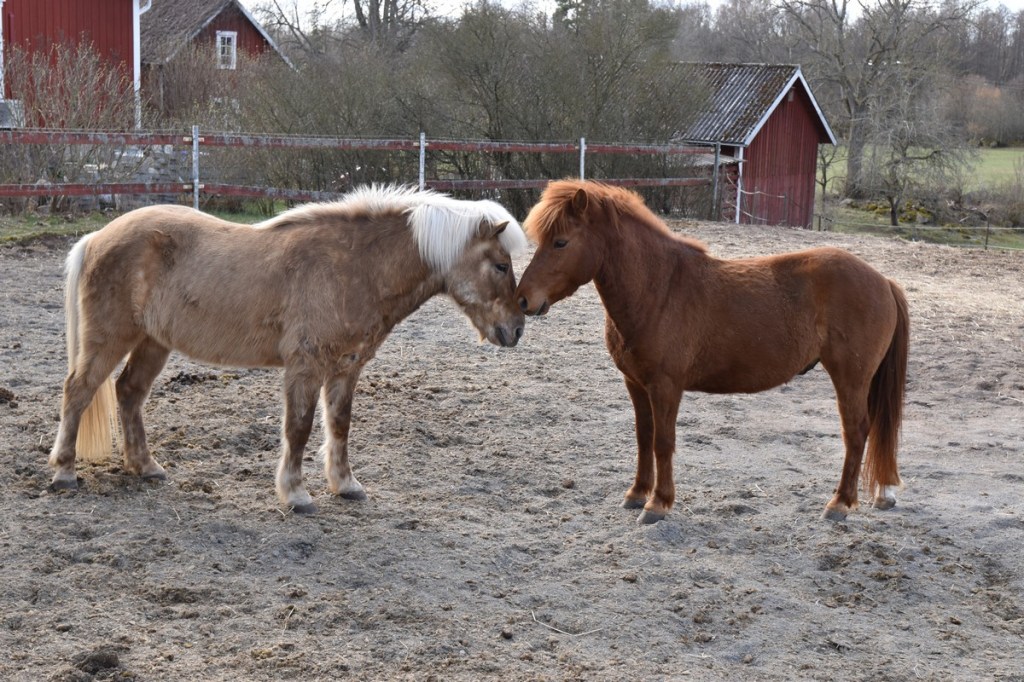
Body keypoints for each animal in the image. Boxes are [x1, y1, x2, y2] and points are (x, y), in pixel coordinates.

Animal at [48, 185, 528, 514]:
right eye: (500, 265)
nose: (516, 329)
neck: (356, 266)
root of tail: (97, 236)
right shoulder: (305, 366)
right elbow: (298, 427)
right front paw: (296, 494)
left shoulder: (346, 368)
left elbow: (339, 426)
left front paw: (345, 485)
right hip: (110, 339)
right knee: (78, 391)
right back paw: (64, 473)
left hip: (153, 343)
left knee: (129, 392)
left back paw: (145, 467)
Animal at [515, 180, 909, 524]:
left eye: (561, 242)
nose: (522, 299)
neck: (659, 289)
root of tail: (883, 281)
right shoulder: (636, 384)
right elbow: (643, 438)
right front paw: (637, 493)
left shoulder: (665, 386)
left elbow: (662, 442)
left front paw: (658, 504)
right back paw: (880, 494)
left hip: (850, 378)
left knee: (856, 432)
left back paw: (839, 503)